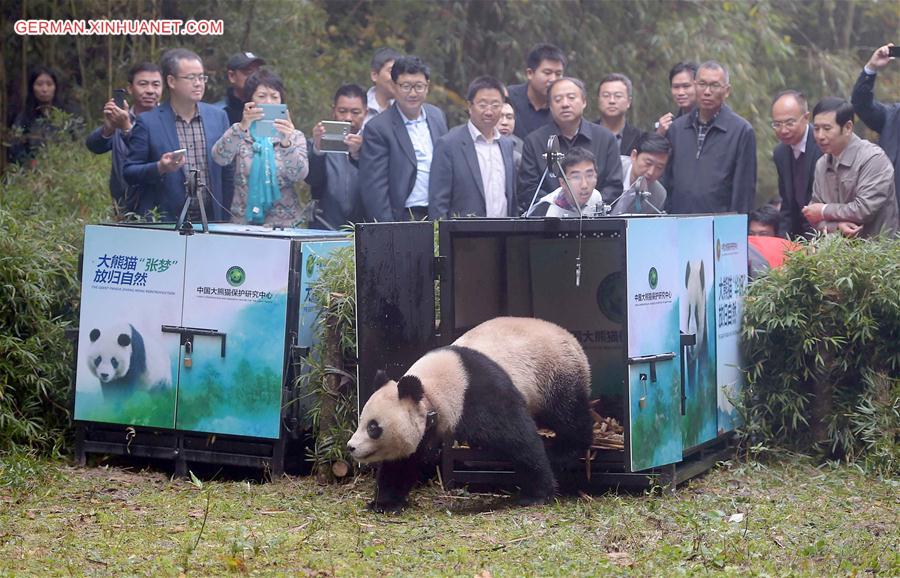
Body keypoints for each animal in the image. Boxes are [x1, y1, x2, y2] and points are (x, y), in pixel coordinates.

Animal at [348, 318, 596, 510]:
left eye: (373, 427)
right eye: (362, 421)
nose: (351, 447)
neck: (429, 390)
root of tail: (572, 339)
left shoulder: (477, 394)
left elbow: (519, 439)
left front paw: (537, 493)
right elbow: (404, 460)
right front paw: (385, 502)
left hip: (553, 375)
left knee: (568, 414)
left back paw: (565, 451)